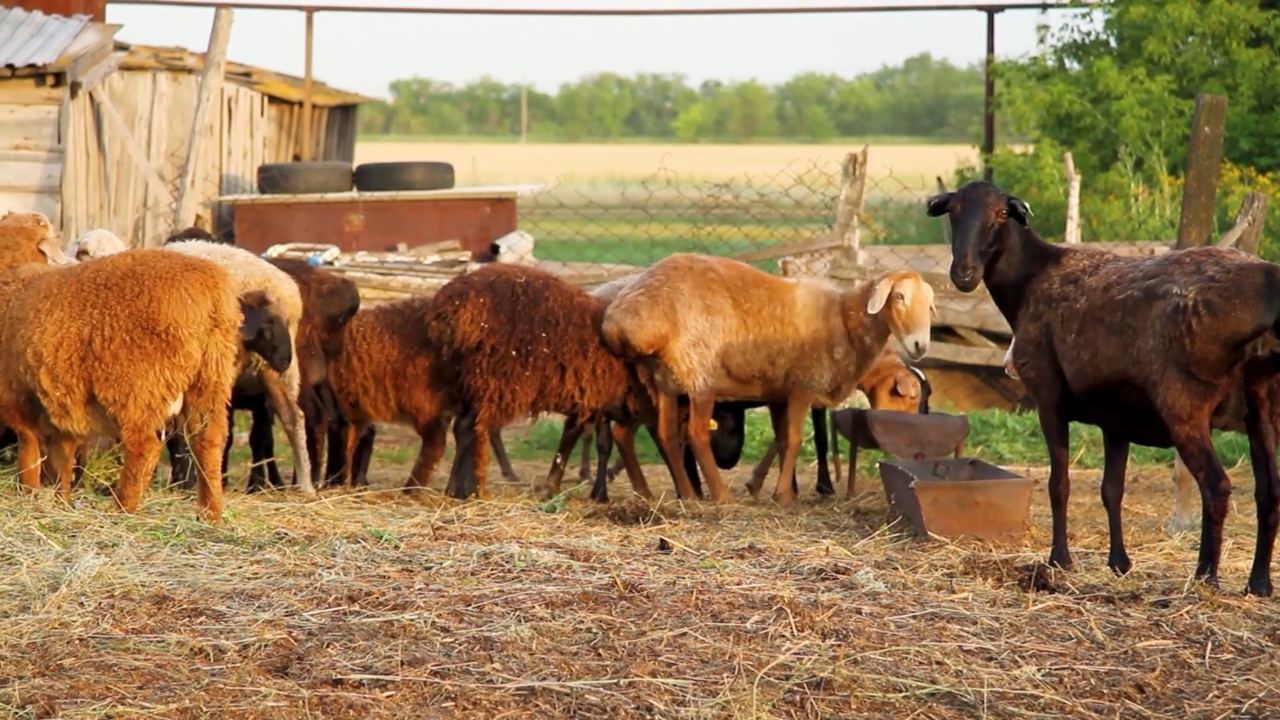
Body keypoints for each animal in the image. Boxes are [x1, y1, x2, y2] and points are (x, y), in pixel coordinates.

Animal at [0, 249, 281, 517]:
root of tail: (209, 294)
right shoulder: (61, 414)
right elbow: (61, 463)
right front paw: (60, 504)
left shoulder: (18, 403)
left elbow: (30, 458)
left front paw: (31, 497)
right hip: (211, 378)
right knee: (209, 441)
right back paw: (209, 515)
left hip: (136, 387)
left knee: (145, 447)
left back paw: (122, 508)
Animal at [424, 260, 655, 502]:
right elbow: (597, 440)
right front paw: (596, 488)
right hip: (499, 379)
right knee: (474, 426)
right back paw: (472, 485)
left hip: (475, 378)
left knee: (469, 427)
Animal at [593, 252, 936, 504]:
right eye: (899, 297)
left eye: (930, 304)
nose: (920, 345)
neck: (845, 320)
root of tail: (626, 317)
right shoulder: (803, 385)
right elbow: (796, 439)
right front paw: (783, 495)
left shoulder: (778, 392)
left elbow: (782, 440)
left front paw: (779, 490)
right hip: (699, 377)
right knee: (695, 434)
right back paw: (719, 496)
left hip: (663, 382)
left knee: (664, 434)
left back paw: (687, 496)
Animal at [926, 179, 1280, 594]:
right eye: (954, 211)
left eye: (1001, 214)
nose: (964, 274)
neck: (1030, 280)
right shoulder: (1116, 417)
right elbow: (1112, 489)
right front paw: (1119, 563)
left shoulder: (1047, 397)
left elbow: (1059, 483)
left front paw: (1060, 560)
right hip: (1263, 403)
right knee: (1269, 492)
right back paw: (1259, 583)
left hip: (1185, 403)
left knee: (1217, 486)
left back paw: (1205, 576)